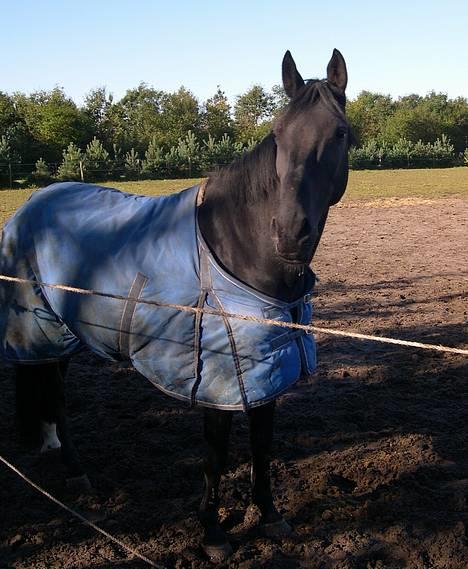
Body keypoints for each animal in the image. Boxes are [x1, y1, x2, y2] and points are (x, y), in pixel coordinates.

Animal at [11, 50, 350, 560]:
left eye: (340, 133)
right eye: (278, 133)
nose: (290, 234)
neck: (238, 248)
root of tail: (30, 204)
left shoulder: (265, 369)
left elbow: (263, 446)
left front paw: (270, 516)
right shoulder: (218, 376)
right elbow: (215, 457)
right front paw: (212, 534)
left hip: (63, 334)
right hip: (45, 332)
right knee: (56, 395)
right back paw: (77, 473)